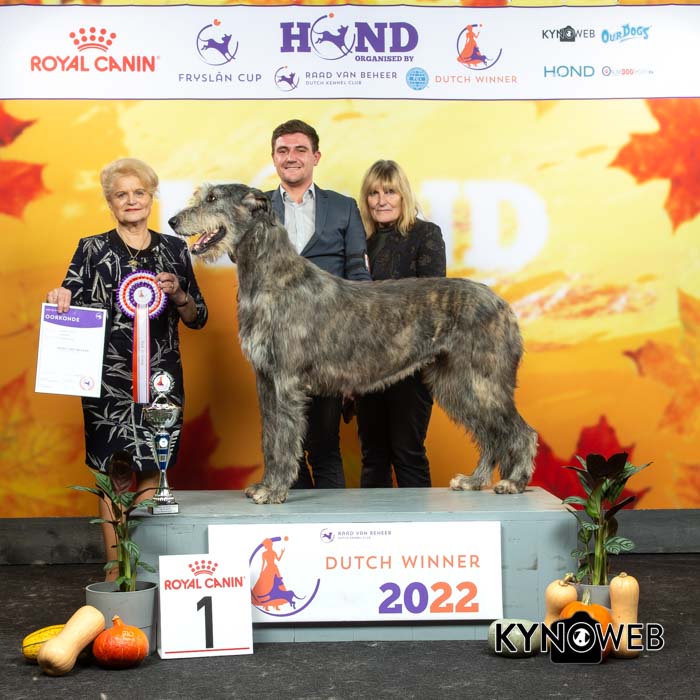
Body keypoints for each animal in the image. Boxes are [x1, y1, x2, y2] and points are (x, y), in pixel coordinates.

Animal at [169, 184, 538, 504]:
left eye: (212, 198)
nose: (173, 221)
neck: (272, 276)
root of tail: (504, 306)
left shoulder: (286, 379)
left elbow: (285, 437)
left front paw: (274, 491)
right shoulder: (265, 379)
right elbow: (269, 436)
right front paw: (265, 484)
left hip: (483, 379)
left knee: (519, 431)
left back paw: (514, 481)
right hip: (456, 382)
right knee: (489, 434)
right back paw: (475, 480)